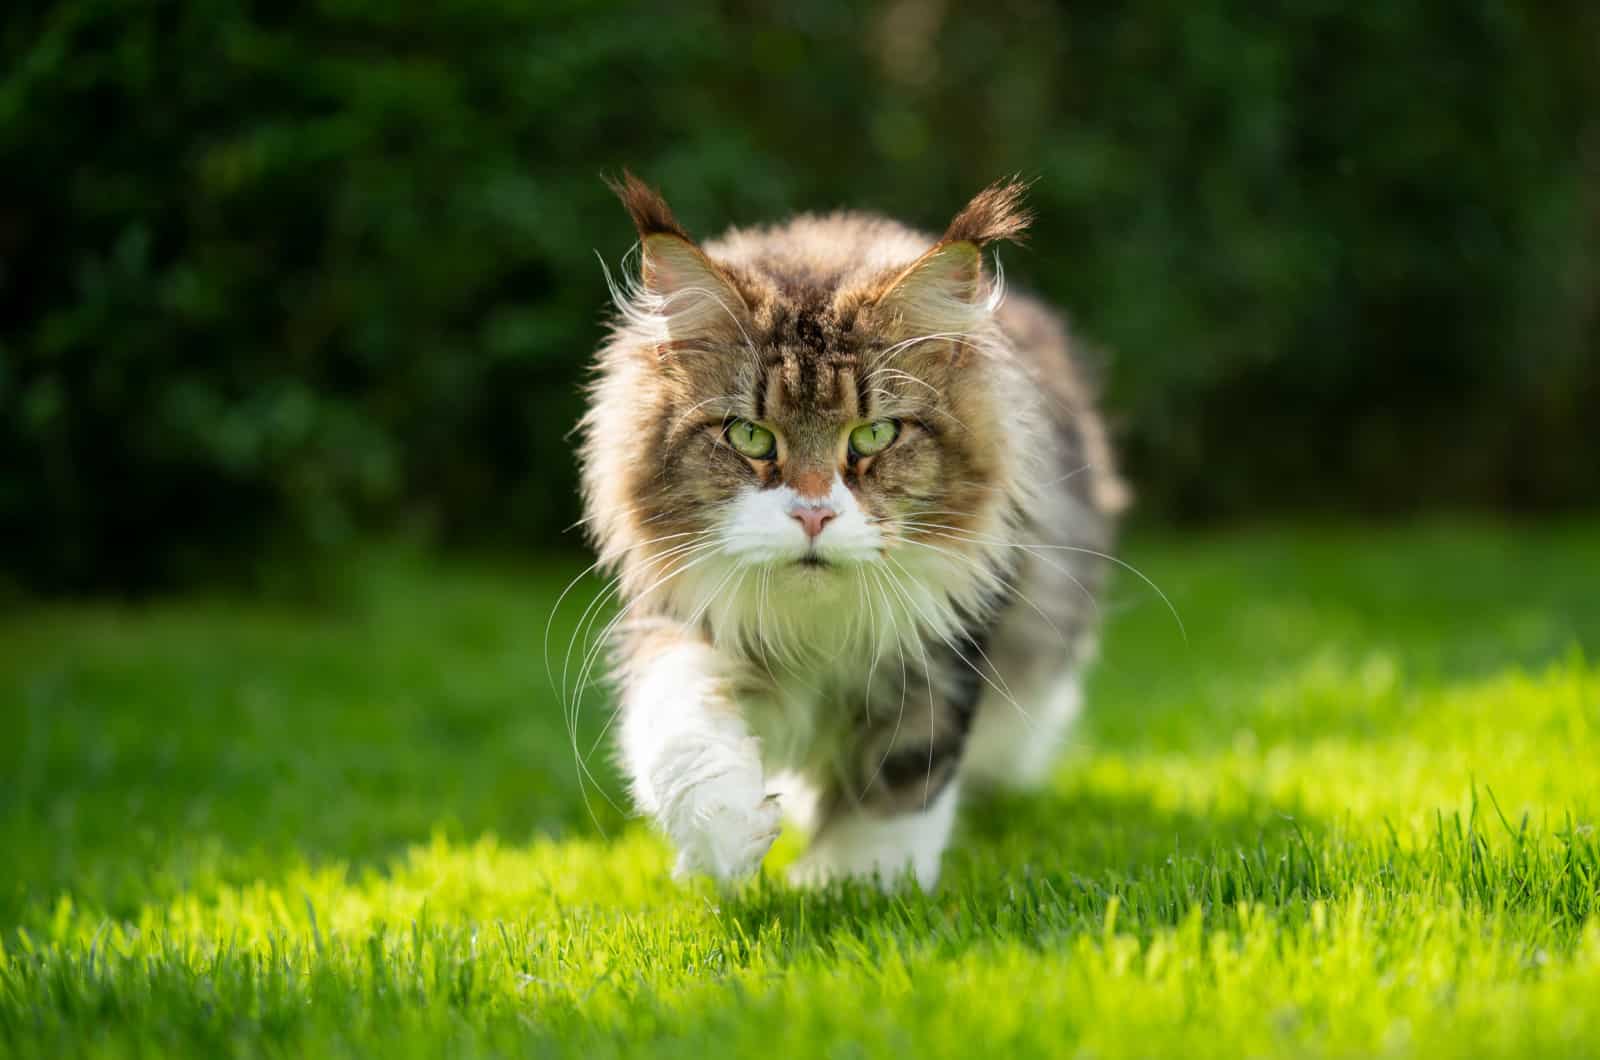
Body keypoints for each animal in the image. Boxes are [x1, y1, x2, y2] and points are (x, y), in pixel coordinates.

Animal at [576, 172, 1126, 890]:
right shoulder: (680, 616)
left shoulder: (939, 652)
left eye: (874, 435)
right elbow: (679, 725)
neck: (816, 633)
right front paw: (728, 835)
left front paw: (853, 883)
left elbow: (900, 781)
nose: (814, 515)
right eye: (749, 436)